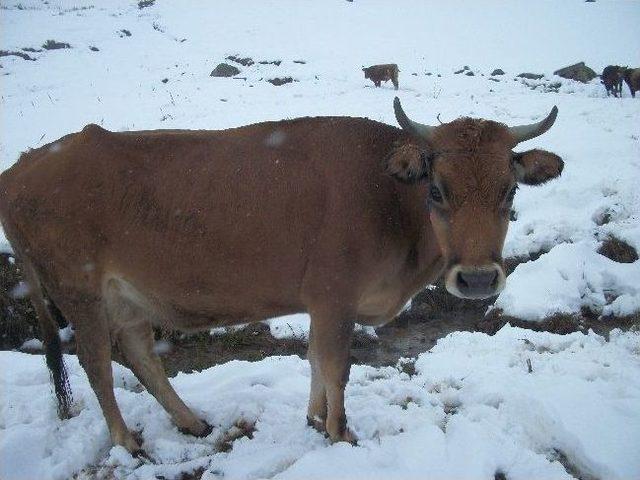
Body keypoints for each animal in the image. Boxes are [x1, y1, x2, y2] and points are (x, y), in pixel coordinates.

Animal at [0, 98, 560, 454]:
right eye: (438, 189)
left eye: (510, 190)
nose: (479, 280)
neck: (389, 198)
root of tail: (19, 168)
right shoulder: (335, 298)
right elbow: (336, 366)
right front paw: (340, 434)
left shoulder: (322, 304)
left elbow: (314, 360)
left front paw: (314, 419)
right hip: (79, 291)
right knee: (96, 363)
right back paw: (127, 442)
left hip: (125, 297)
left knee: (139, 352)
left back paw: (192, 422)